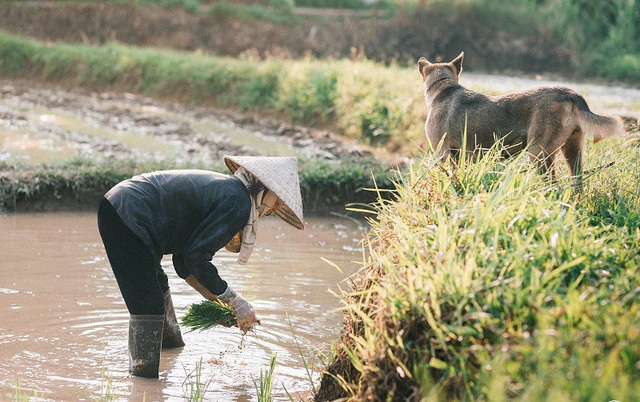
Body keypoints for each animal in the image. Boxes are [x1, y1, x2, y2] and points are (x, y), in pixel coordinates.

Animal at [418, 51, 624, 187]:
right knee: (576, 183)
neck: (444, 87)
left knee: (553, 186)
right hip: (572, 151)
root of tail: (572, 95)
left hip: (538, 153)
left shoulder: (442, 153)